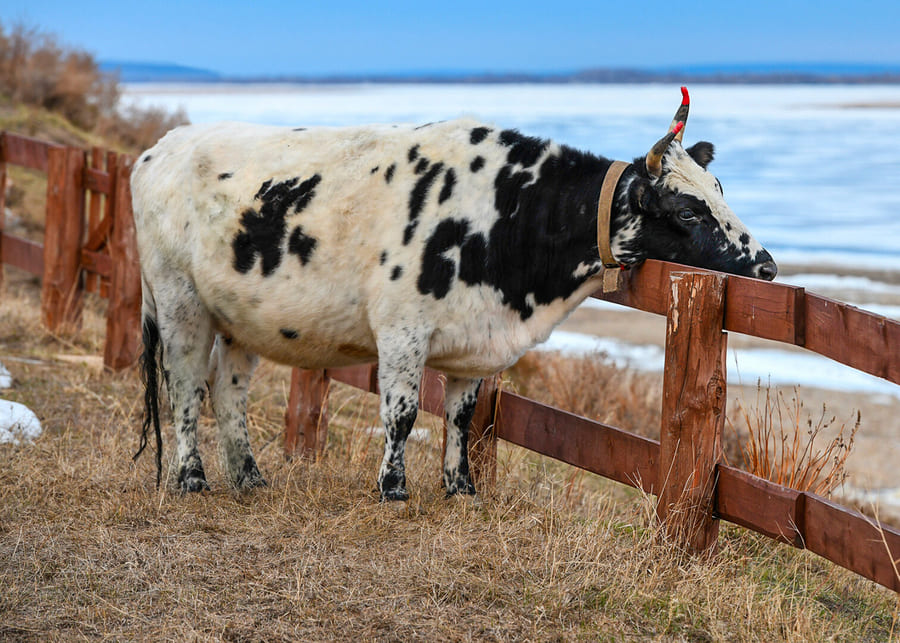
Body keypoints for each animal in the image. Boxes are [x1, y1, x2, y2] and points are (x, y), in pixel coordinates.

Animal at [131, 87, 776, 501]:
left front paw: (460, 488)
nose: (766, 266)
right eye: (688, 210)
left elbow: (461, 417)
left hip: (240, 318)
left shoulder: (476, 343)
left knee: (228, 390)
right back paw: (191, 479)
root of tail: (158, 149)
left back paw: (249, 478)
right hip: (181, 305)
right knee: (186, 385)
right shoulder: (401, 331)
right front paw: (393, 488)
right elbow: (401, 413)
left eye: (720, 187)